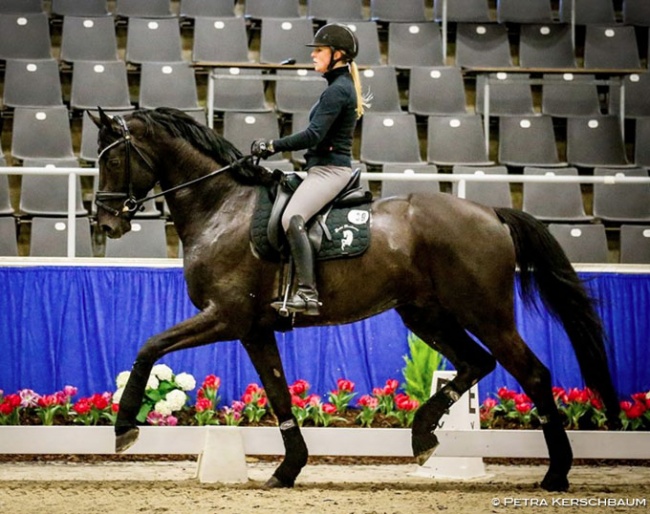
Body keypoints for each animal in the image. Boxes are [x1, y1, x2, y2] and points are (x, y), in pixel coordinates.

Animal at [90, 107, 616, 488]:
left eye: (112, 160)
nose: (103, 222)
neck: (223, 207)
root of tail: (490, 211)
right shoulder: (255, 330)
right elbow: (279, 395)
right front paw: (288, 470)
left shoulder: (226, 317)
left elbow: (149, 347)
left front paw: (124, 428)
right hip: (425, 315)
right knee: (476, 363)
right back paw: (423, 436)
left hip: (486, 313)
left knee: (532, 374)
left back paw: (556, 474)